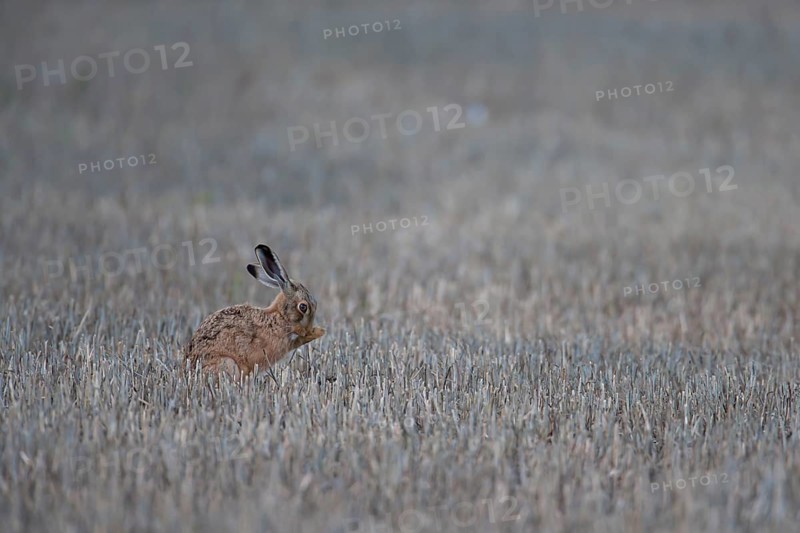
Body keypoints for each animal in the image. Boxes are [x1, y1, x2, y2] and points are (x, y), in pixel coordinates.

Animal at [184, 244, 325, 377]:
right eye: (303, 307)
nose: (308, 329)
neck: (280, 317)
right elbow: (295, 342)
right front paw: (315, 333)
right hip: (229, 364)